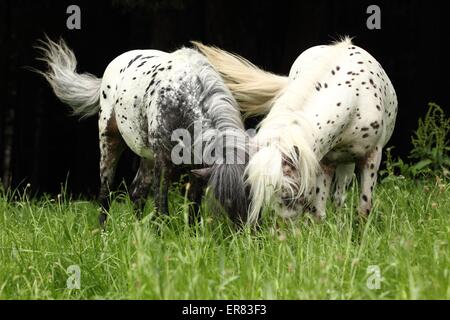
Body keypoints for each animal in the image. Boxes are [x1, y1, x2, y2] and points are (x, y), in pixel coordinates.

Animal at [37, 38, 251, 225]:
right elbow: (161, 207)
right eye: (226, 200)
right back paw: (102, 234)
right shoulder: (163, 162)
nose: (241, 232)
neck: (183, 97)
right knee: (106, 194)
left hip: (147, 157)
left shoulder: (197, 168)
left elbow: (193, 207)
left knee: (137, 193)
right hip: (110, 143)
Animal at [195, 37, 400, 222]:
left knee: (340, 194)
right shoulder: (324, 163)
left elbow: (364, 208)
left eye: (289, 194)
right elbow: (318, 213)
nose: (281, 235)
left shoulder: (372, 158)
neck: (355, 99)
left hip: (348, 162)